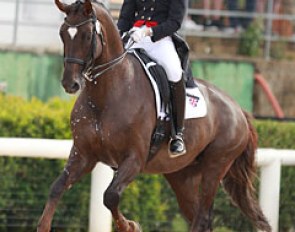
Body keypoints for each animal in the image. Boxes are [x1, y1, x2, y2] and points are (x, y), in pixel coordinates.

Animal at [37, 0, 272, 231]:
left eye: (87, 35)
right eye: (63, 34)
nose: (70, 84)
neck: (106, 94)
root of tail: (238, 110)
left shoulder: (134, 159)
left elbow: (110, 196)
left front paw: (130, 226)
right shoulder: (83, 155)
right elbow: (56, 187)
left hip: (215, 167)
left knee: (203, 216)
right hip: (182, 175)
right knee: (197, 214)